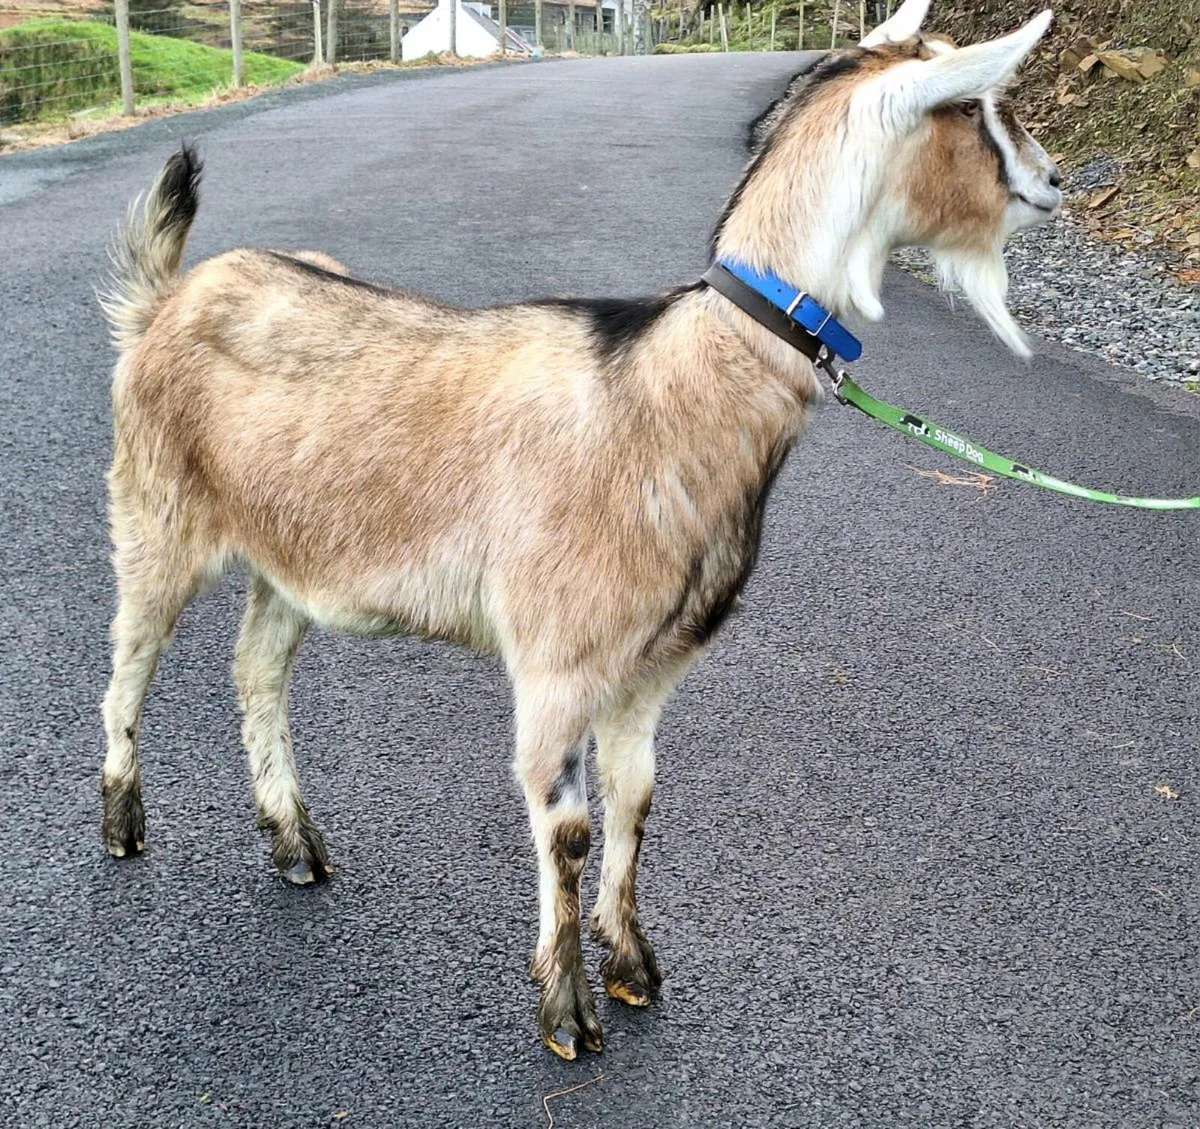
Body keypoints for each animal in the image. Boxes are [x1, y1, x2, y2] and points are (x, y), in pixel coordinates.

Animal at [98, 0, 1062, 1060]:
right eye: (972, 108)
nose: (1056, 181)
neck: (670, 391)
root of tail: (164, 300)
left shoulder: (651, 663)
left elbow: (635, 797)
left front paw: (633, 965)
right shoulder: (557, 658)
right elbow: (566, 828)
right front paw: (567, 1010)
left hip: (290, 553)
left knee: (257, 669)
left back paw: (296, 842)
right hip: (153, 508)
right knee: (130, 658)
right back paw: (123, 820)